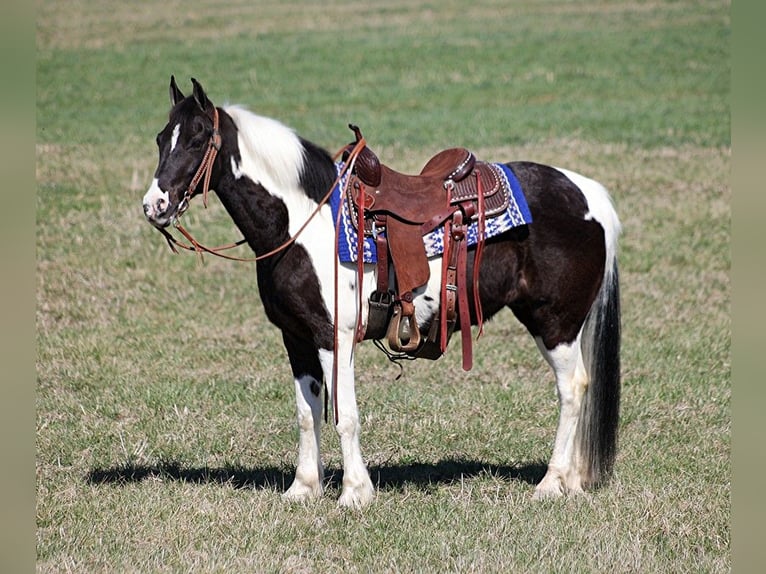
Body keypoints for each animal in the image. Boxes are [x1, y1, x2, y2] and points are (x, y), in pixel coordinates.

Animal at [144, 76, 624, 508]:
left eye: (197, 139)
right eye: (161, 139)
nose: (154, 206)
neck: (302, 221)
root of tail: (590, 195)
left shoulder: (333, 337)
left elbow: (346, 416)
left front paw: (355, 493)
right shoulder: (296, 337)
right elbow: (307, 414)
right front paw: (303, 489)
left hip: (555, 322)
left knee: (572, 388)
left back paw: (551, 483)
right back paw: (572, 482)